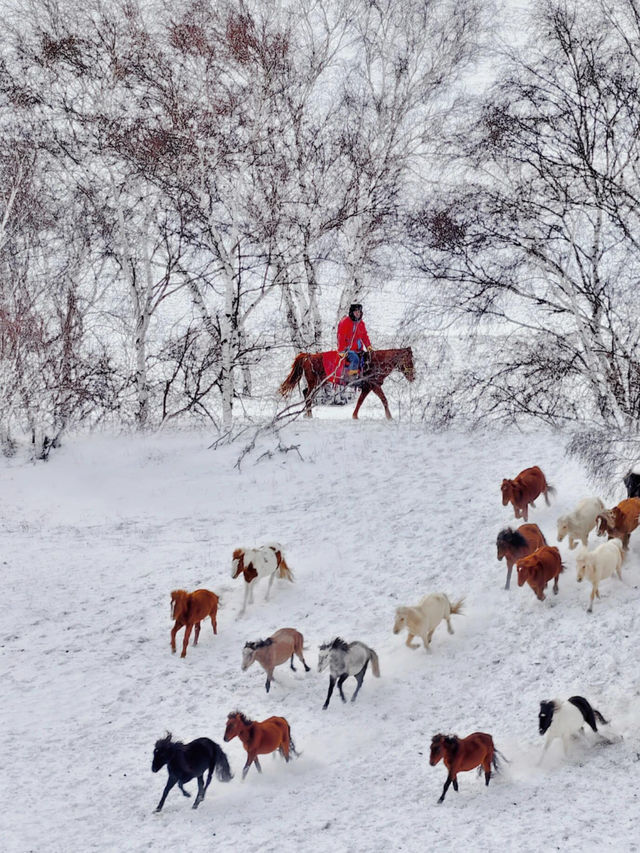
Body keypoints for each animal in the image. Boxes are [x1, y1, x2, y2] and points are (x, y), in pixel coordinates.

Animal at [278, 346, 416, 420]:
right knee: (308, 395)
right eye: (408, 360)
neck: (376, 362)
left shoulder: (368, 387)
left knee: (306, 393)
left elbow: (361, 401)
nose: (413, 376)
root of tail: (309, 356)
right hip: (314, 383)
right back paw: (309, 415)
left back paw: (307, 414)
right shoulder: (373, 386)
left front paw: (355, 415)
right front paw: (389, 417)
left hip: (318, 384)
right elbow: (383, 400)